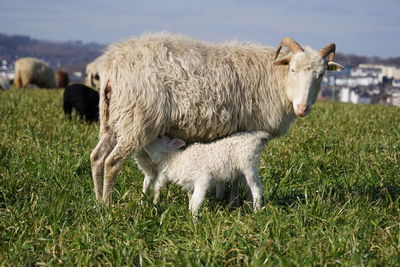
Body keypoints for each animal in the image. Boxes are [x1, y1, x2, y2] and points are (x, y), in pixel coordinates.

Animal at [91, 31, 344, 203]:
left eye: (321, 75)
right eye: (293, 69)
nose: (303, 108)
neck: (276, 78)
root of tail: (112, 64)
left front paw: (226, 200)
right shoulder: (246, 130)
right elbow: (238, 175)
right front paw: (236, 203)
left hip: (112, 120)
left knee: (96, 157)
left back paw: (97, 202)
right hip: (137, 120)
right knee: (112, 162)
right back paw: (109, 205)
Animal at [144, 132, 272, 218]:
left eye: (159, 137)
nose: (144, 141)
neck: (175, 159)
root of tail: (256, 137)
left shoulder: (203, 178)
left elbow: (196, 202)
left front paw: (194, 222)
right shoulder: (189, 184)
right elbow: (191, 200)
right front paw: (190, 215)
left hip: (248, 163)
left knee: (257, 187)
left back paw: (256, 210)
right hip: (241, 171)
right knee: (249, 187)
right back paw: (249, 207)